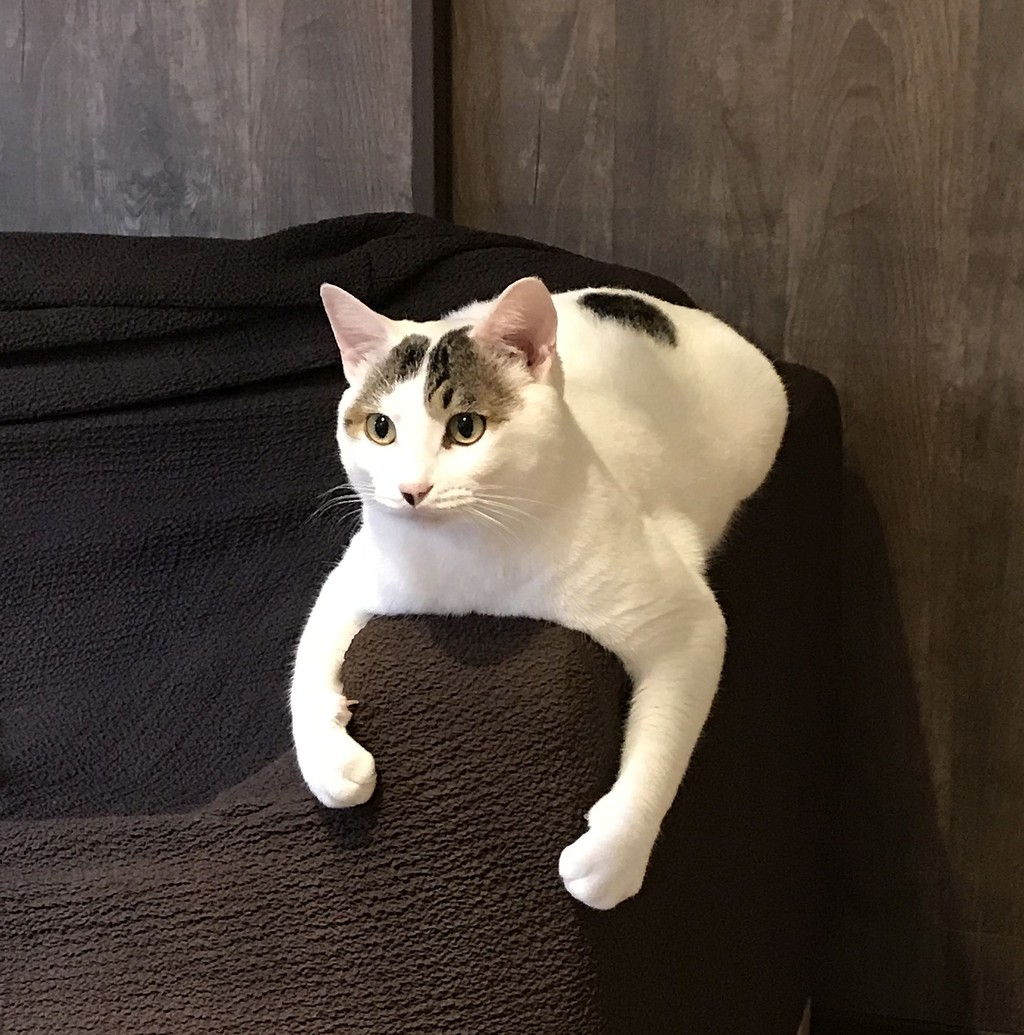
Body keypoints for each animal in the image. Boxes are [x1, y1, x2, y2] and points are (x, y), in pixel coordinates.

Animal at [289, 276, 788, 910]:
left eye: (466, 428)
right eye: (381, 429)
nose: (411, 490)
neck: (471, 555)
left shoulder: (688, 622)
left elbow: (665, 742)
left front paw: (612, 858)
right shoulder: (354, 579)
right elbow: (306, 672)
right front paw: (332, 764)